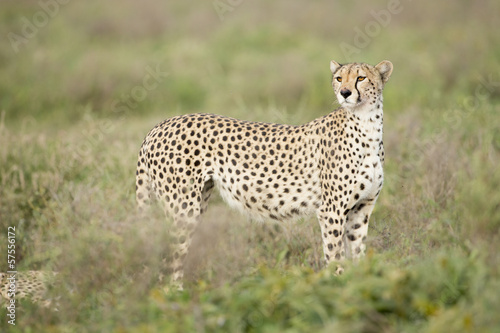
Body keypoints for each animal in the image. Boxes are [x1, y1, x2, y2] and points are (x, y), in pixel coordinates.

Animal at [135, 59, 392, 288]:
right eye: (339, 78)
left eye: (360, 78)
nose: (345, 93)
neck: (367, 124)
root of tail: (158, 126)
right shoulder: (331, 211)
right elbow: (335, 257)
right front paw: (336, 286)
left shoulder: (361, 208)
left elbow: (357, 254)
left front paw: (356, 283)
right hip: (183, 209)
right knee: (168, 259)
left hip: (198, 202)